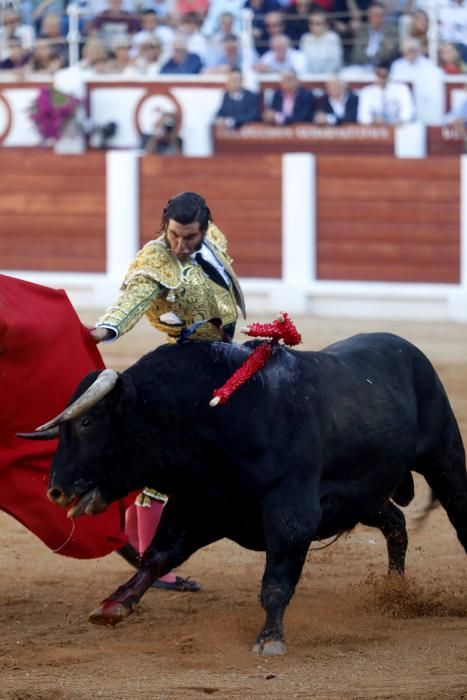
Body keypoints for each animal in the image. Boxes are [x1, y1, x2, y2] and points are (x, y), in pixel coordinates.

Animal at [27, 330, 467, 652]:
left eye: (87, 424)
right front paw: (113, 604)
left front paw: (270, 639)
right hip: (363, 497)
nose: (56, 491)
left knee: (457, 515)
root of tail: (407, 348)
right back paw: (395, 593)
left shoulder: (291, 513)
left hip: (444, 458)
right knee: (396, 523)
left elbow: (275, 582)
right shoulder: (198, 506)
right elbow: (158, 556)